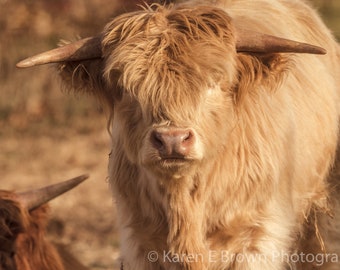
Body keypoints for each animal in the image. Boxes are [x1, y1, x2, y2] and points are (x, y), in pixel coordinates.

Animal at [16, 0, 340, 270]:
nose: (172, 140)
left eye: (215, 82)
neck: (186, 204)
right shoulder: (140, 240)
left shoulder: (258, 237)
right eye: (125, 89)